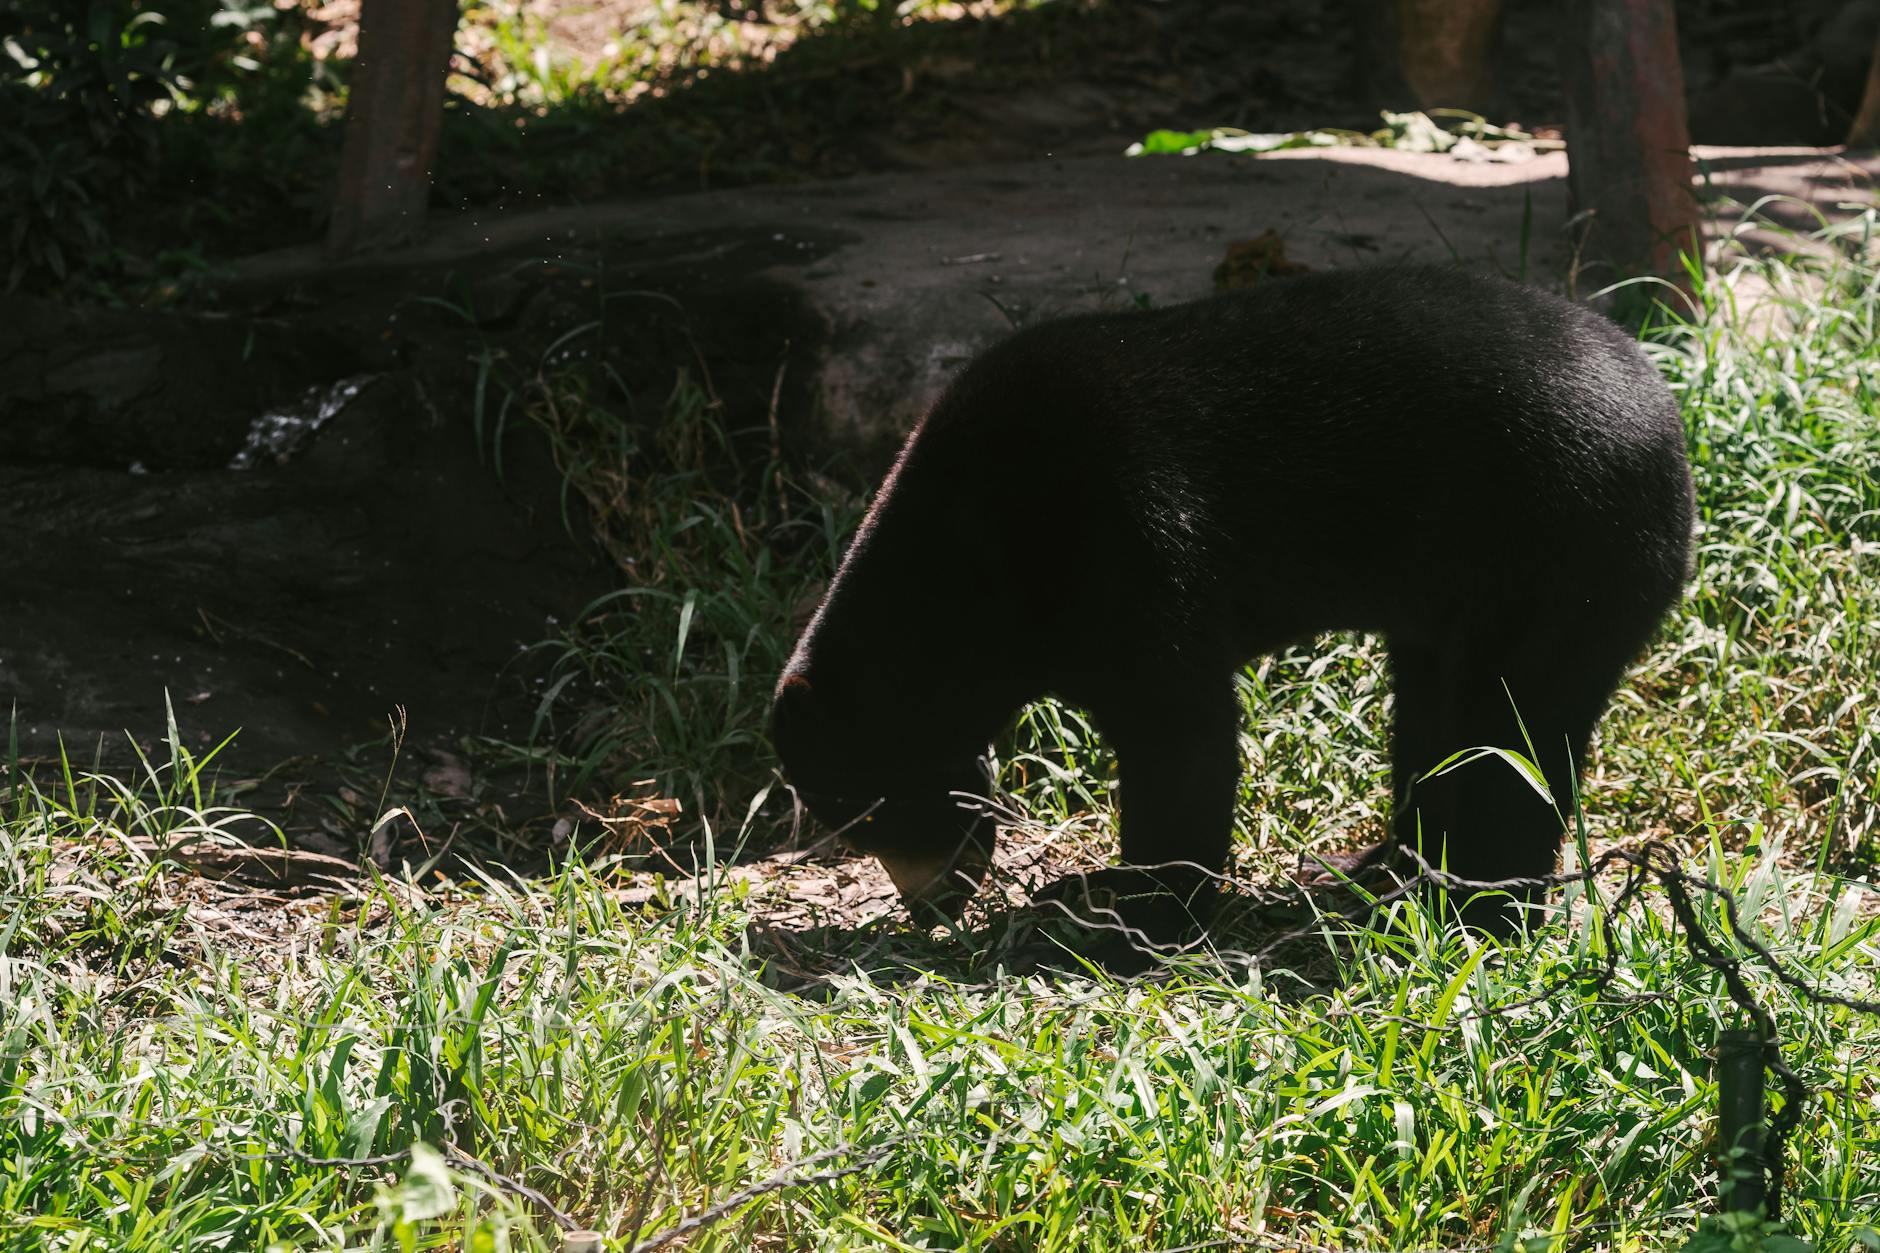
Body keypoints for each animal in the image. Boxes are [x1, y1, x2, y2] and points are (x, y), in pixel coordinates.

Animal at [771, 265, 1694, 949]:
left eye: (874, 813)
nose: (930, 906)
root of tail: (1668, 417)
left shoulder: (1130, 540)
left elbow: (1183, 741)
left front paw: (1126, 917)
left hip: (1566, 549)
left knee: (1518, 731)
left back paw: (1482, 908)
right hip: (1465, 600)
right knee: (1438, 721)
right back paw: (1378, 869)